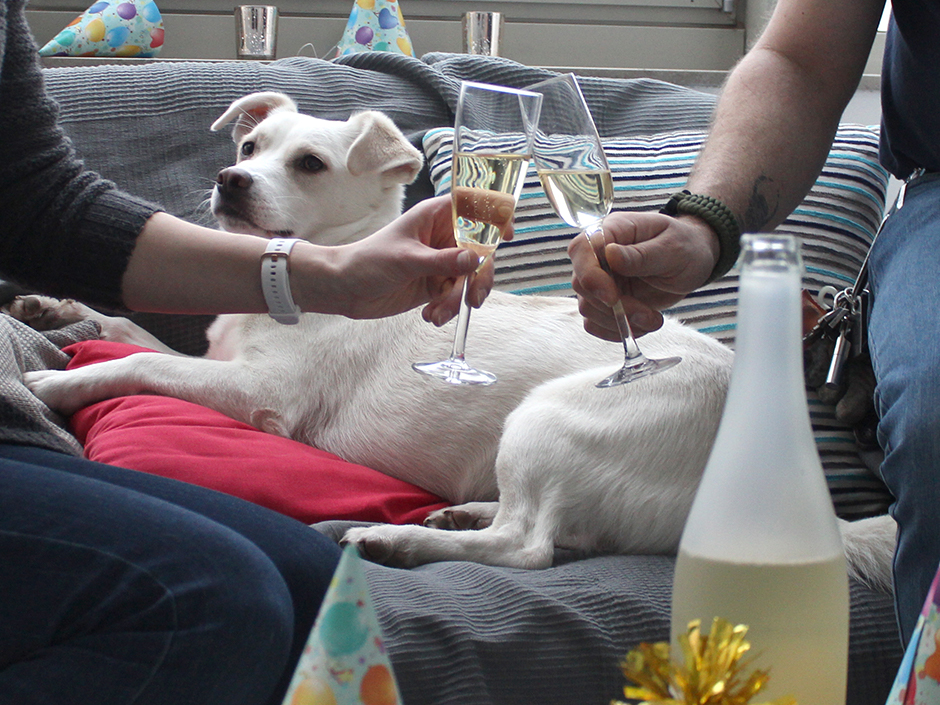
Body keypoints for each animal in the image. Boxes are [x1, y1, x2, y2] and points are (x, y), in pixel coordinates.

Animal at [16, 91, 896, 592]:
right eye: (247, 149)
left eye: (308, 164)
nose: (231, 182)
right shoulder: (216, 361)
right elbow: (133, 331)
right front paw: (54, 307)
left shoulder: (261, 395)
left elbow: (142, 358)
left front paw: (55, 383)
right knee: (551, 529)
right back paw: (456, 515)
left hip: (546, 419)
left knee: (530, 548)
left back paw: (395, 537)